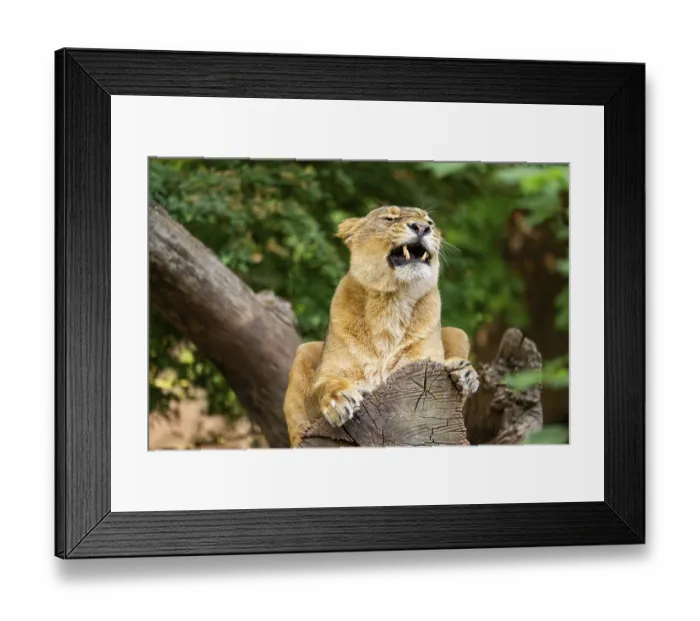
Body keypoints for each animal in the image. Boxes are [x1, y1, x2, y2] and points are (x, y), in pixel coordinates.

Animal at [283, 205, 479, 447]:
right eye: (389, 218)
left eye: (430, 222)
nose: (422, 227)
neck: (391, 303)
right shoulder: (326, 378)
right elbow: (322, 387)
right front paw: (340, 399)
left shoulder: (419, 364)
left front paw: (462, 372)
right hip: (304, 350)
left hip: (458, 333)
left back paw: (463, 373)